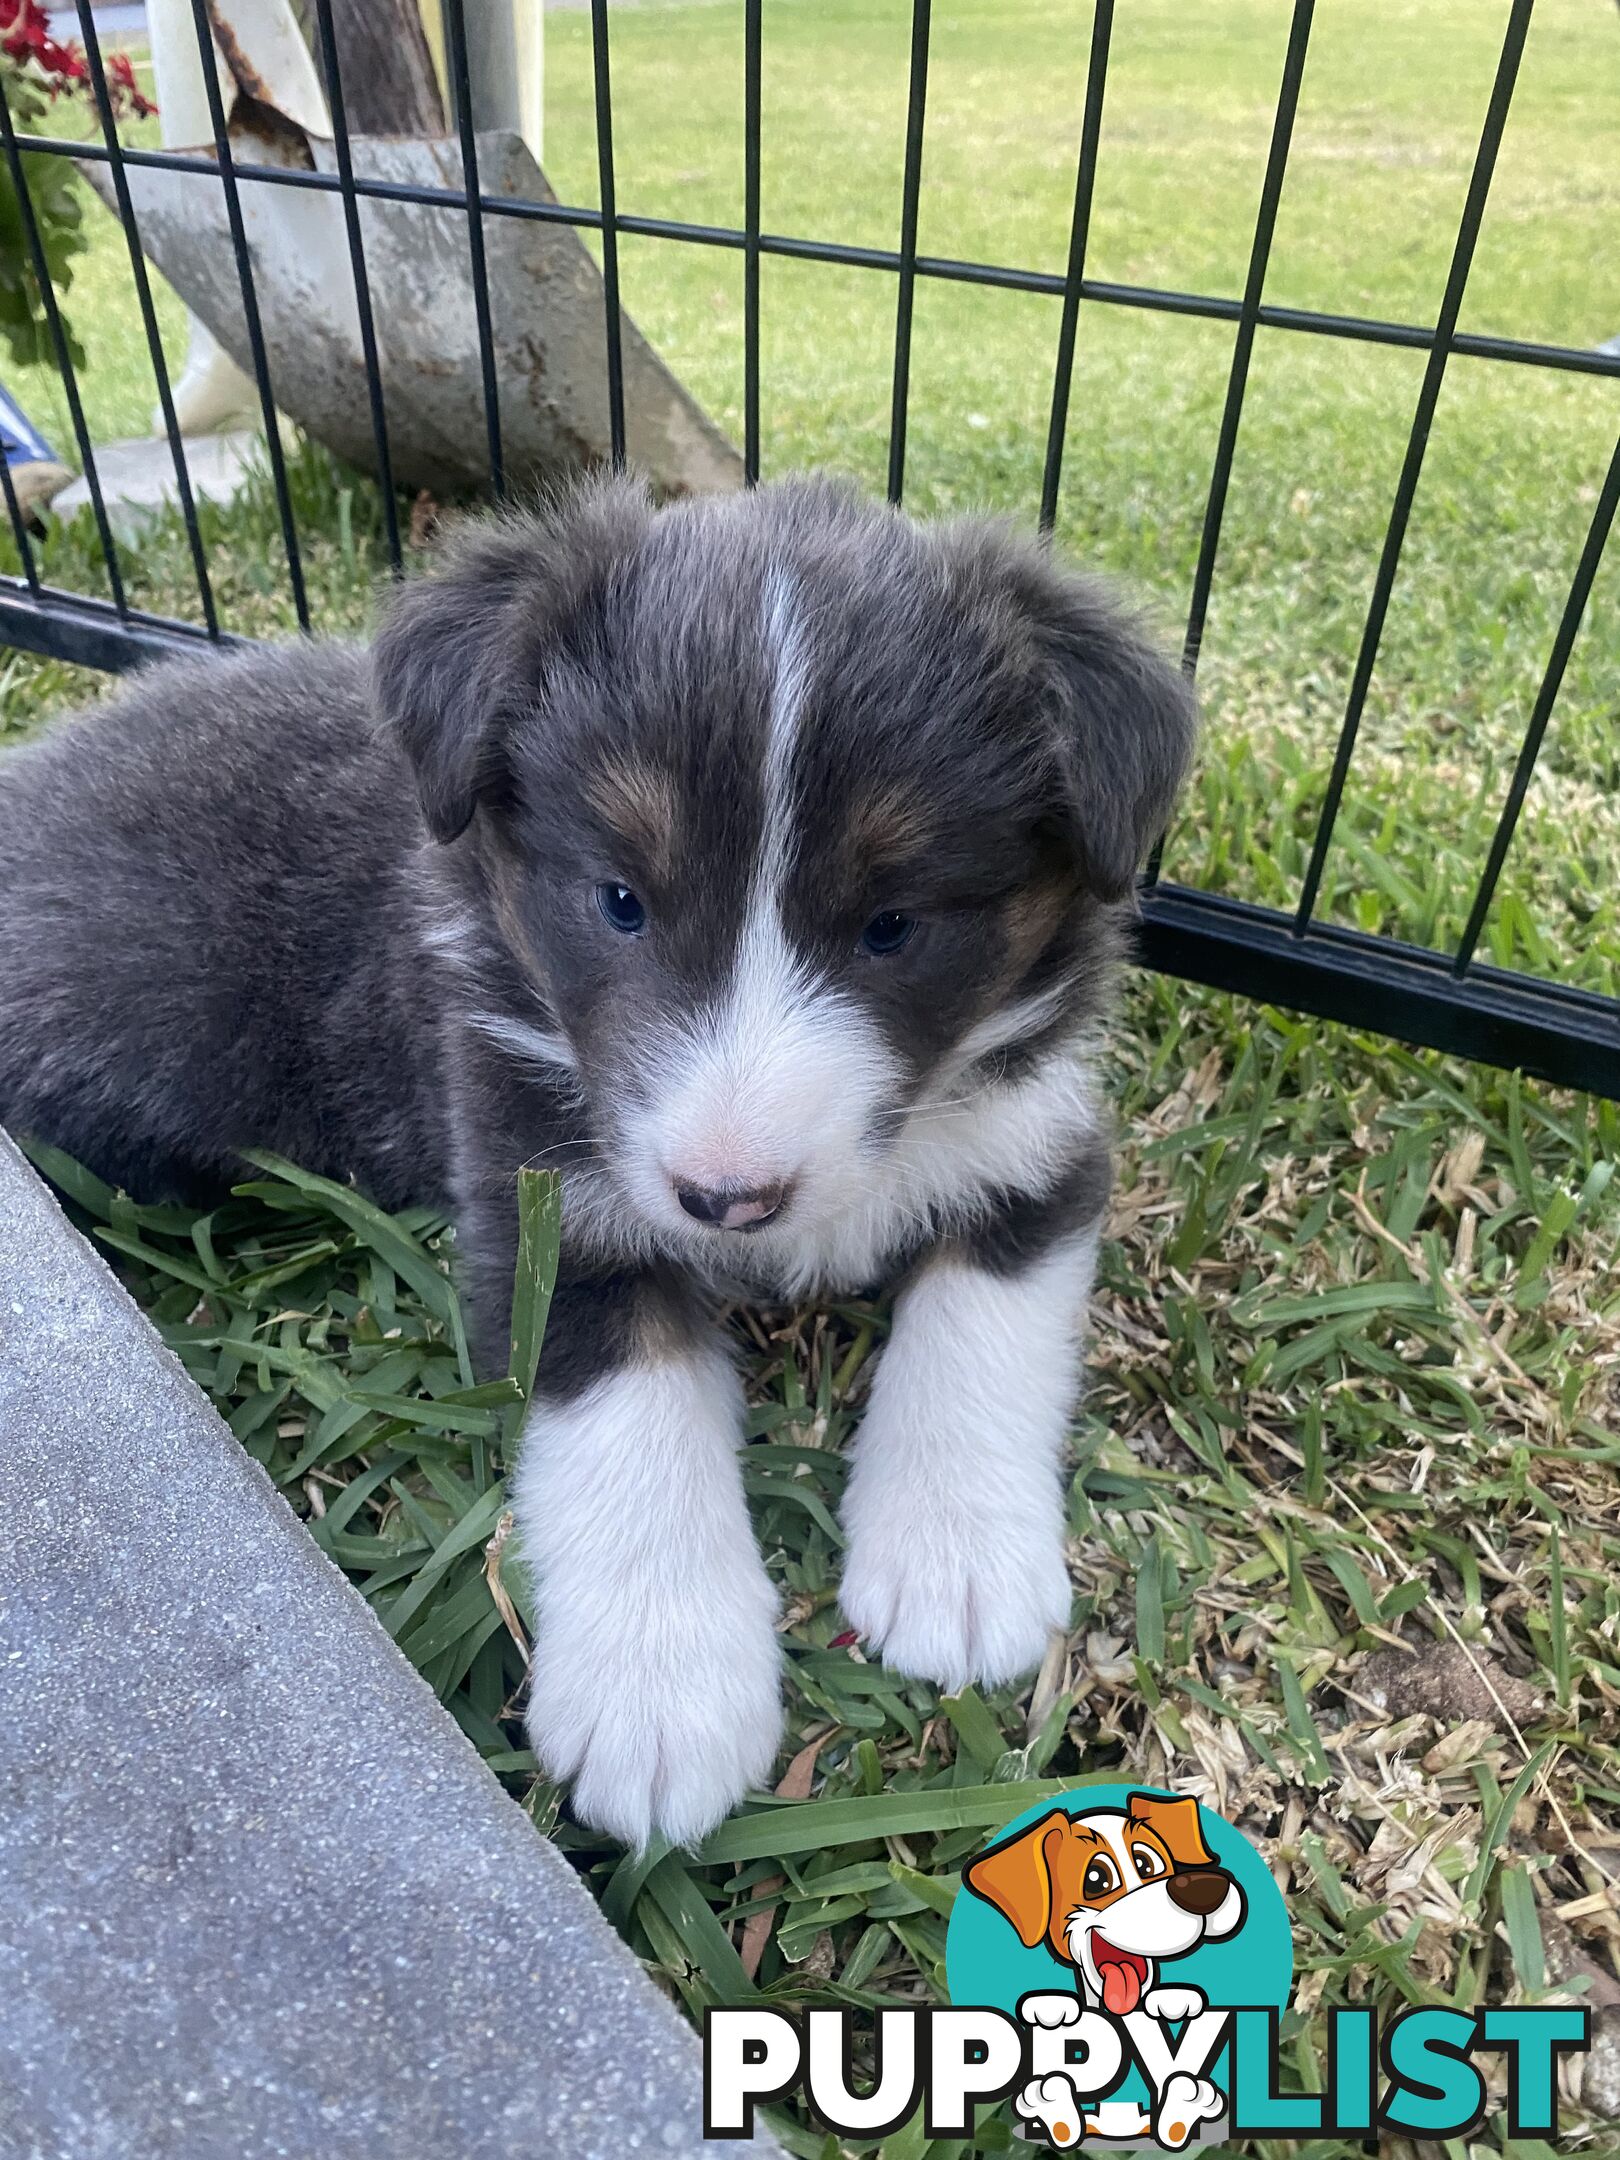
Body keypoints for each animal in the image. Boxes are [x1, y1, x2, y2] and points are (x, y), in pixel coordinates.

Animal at [0, 481, 1192, 1848]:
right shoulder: (542, 1207)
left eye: (894, 927)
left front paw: (955, 1563)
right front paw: (661, 1700)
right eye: (620, 901)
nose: (729, 1198)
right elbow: (631, 1423)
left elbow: (981, 1332)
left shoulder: (1035, 1146)